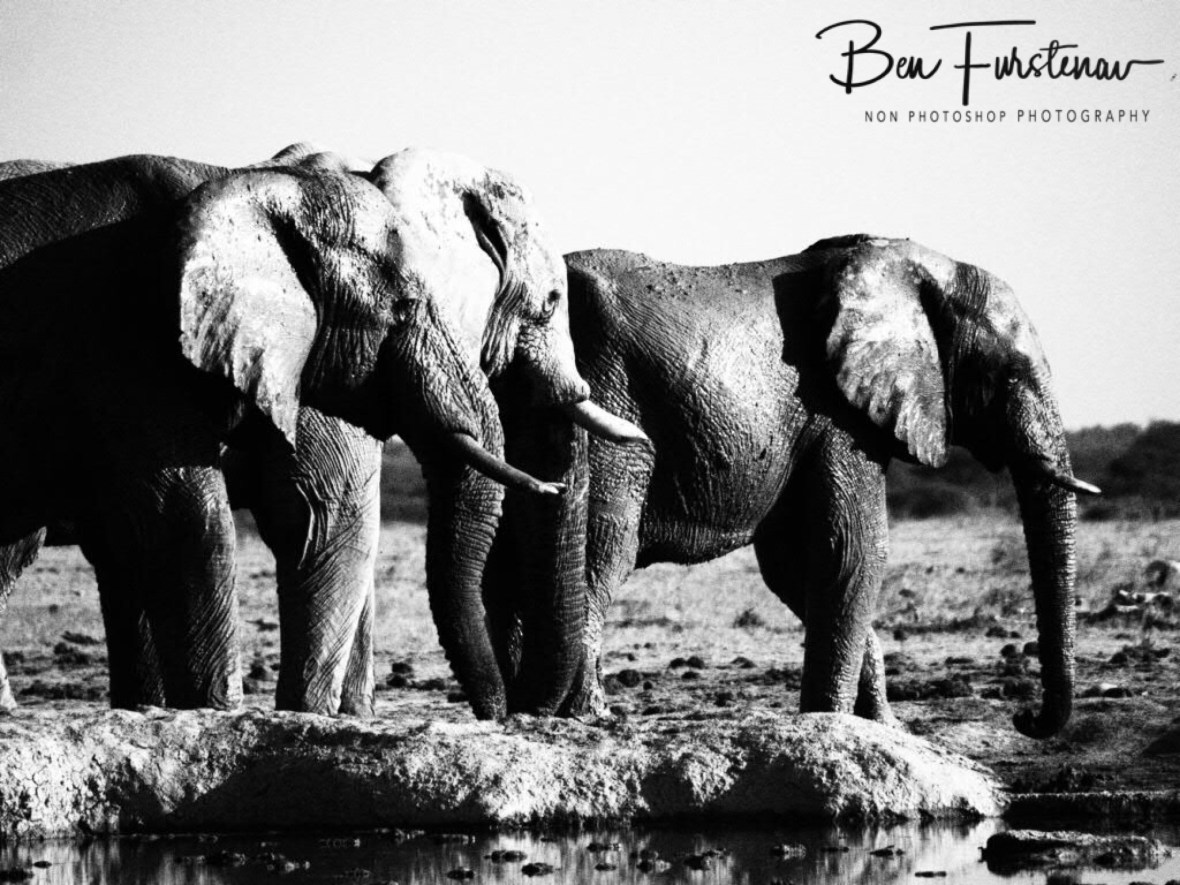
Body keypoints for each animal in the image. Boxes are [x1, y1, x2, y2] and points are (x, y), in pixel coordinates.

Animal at [0, 146, 642, 719]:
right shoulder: (132, 352)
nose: (508, 714)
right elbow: (205, 522)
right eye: (550, 303)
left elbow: (313, 522)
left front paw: (326, 717)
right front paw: (227, 715)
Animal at [486, 235, 1100, 737]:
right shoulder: (837, 414)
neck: (914, 265)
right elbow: (852, 551)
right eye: (1009, 374)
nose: (1025, 719)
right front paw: (830, 722)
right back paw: (587, 716)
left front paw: (881, 727)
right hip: (606, 398)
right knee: (600, 550)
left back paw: (525, 709)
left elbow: (793, 566)